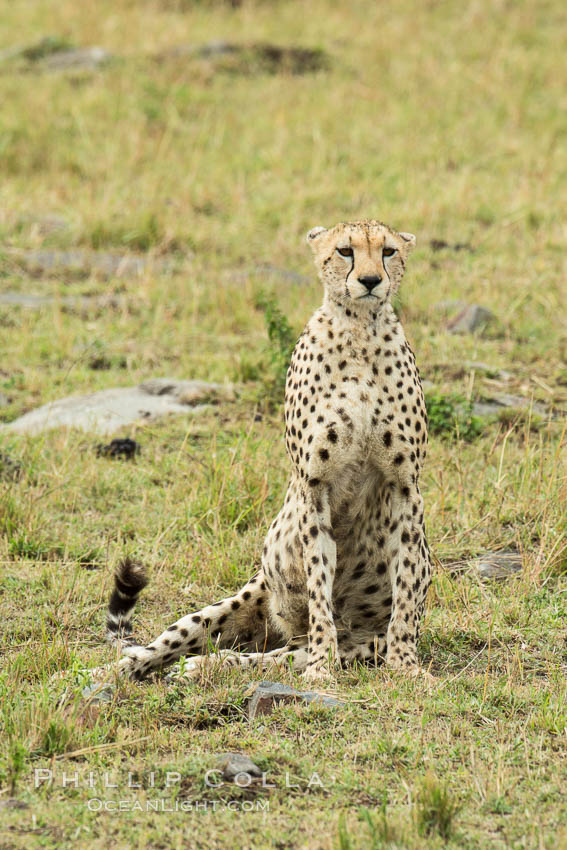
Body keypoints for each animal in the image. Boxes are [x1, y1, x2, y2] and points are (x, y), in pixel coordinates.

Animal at [108, 220, 432, 684]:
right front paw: (321, 671)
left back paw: (205, 666)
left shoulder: (404, 486)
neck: (358, 330)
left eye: (387, 251)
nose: (370, 281)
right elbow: (319, 587)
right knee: (155, 648)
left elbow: (405, 585)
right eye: (345, 251)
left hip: (351, 645)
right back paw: (104, 674)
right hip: (232, 605)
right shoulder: (315, 486)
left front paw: (406, 666)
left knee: (267, 657)